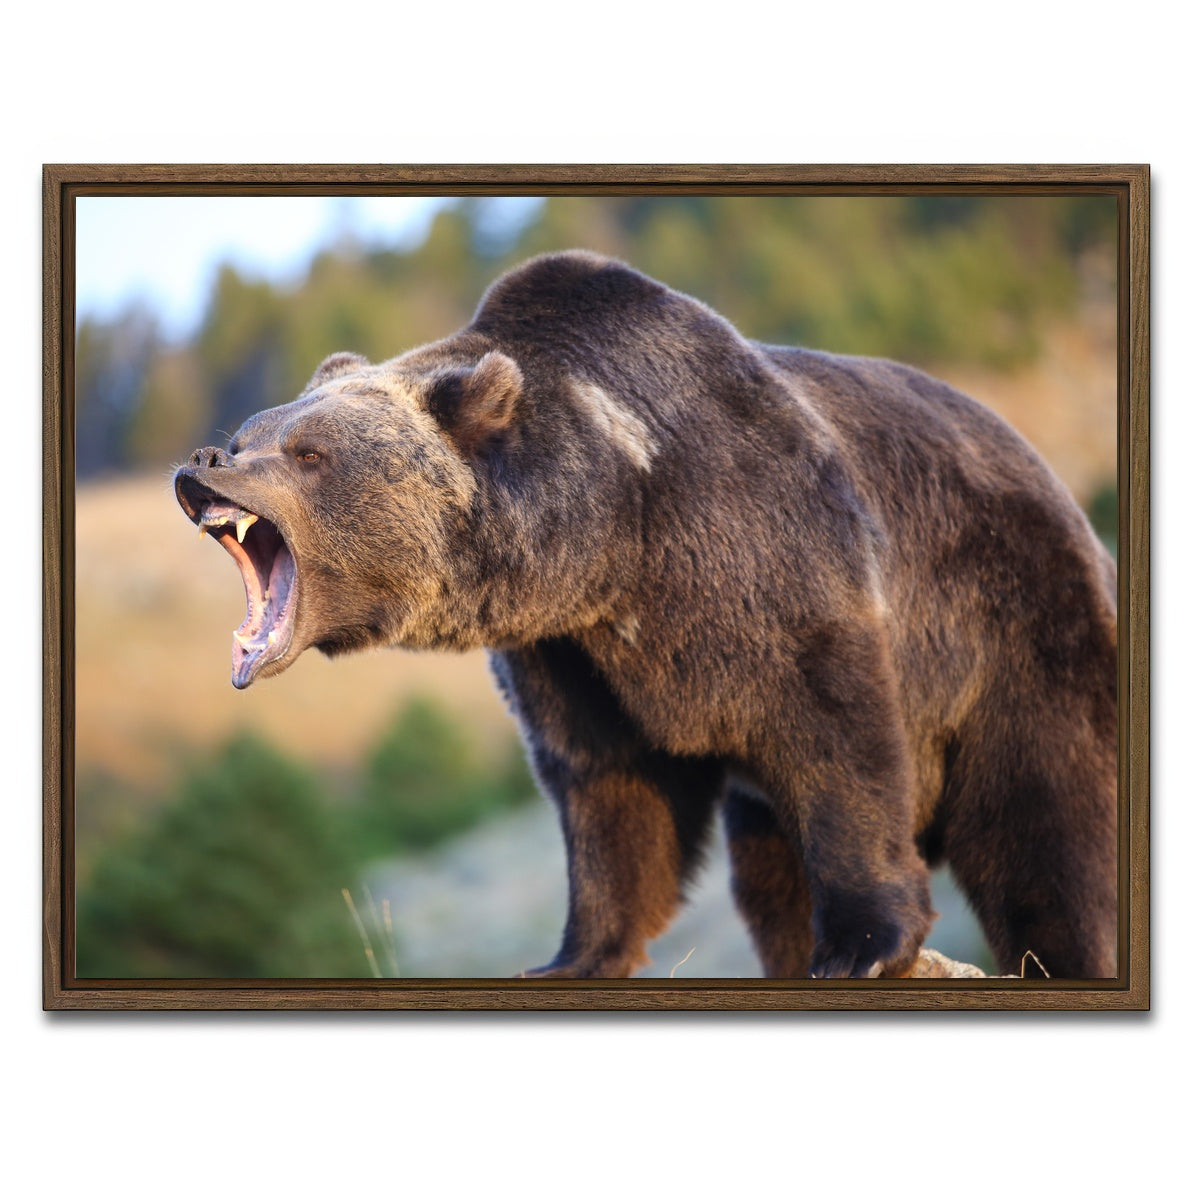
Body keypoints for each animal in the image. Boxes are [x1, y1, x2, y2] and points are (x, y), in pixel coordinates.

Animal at [174, 250, 1119, 980]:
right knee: (768, 875)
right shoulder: (572, 654)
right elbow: (608, 790)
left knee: (1047, 833)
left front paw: (862, 943)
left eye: (307, 452)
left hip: (1021, 632)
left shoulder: (769, 555)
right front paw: (571, 954)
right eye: (252, 430)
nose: (204, 460)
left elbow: (838, 737)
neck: (614, 536)